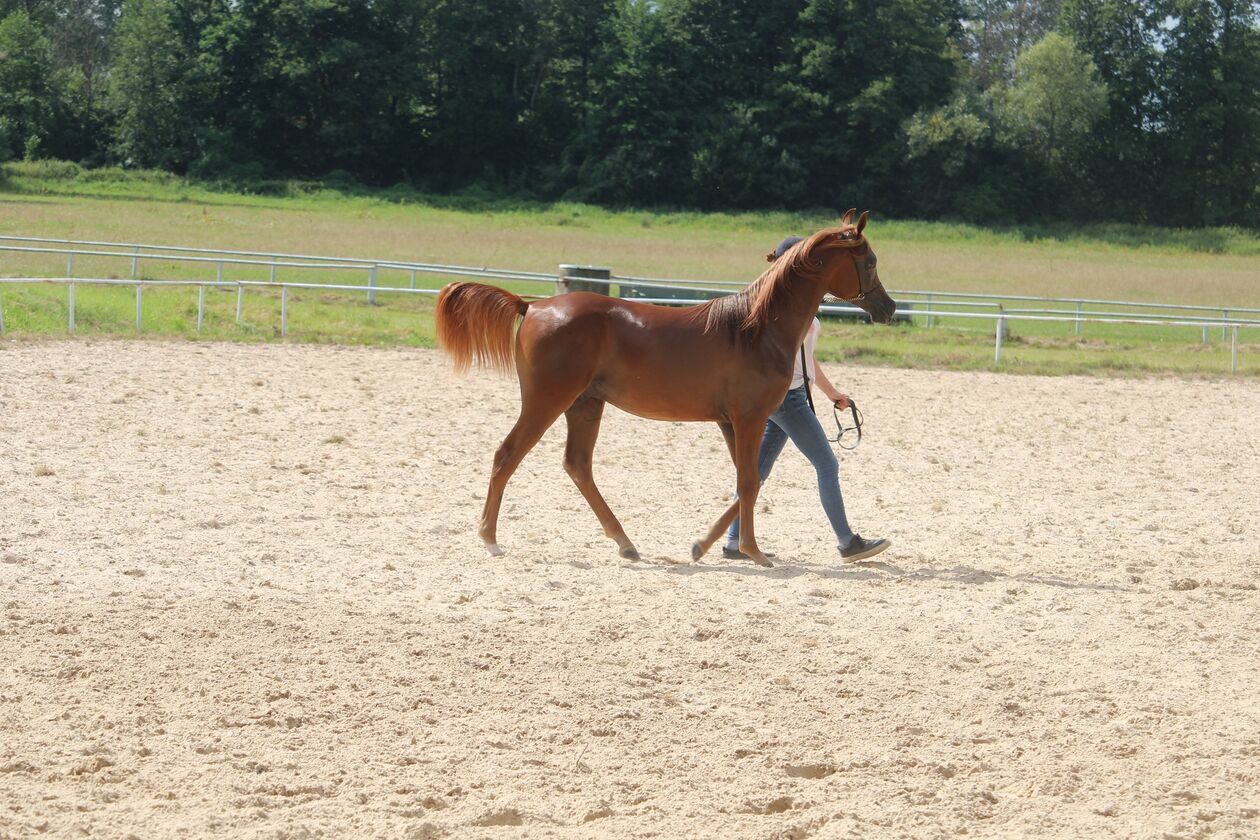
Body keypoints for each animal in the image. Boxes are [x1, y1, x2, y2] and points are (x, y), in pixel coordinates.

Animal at [433, 209, 897, 571]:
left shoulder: (733, 422)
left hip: (585, 405)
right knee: (507, 455)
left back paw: (625, 543)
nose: (889, 308)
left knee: (578, 466)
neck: (755, 328)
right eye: (871, 260)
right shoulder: (749, 418)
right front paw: (753, 551)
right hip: (547, 401)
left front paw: (705, 546)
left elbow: (748, 481)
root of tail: (532, 306)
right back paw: (490, 539)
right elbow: (749, 482)